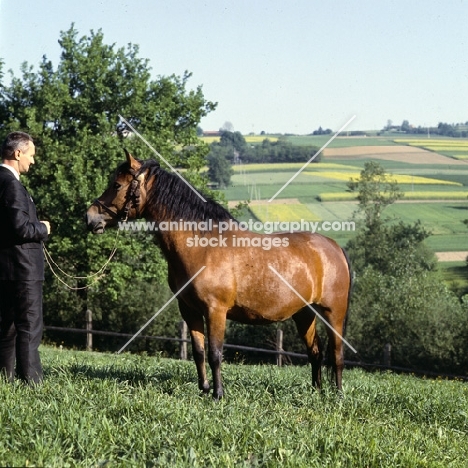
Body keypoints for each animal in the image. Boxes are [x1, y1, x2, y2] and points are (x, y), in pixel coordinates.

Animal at [85, 151, 352, 398]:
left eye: (116, 185)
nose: (90, 217)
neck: (203, 246)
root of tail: (335, 248)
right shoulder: (190, 310)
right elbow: (198, 351)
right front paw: (204, 389)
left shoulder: (216, 311)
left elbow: (215, 353)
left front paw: (218, 394)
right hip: (304, 313)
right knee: (315, 353)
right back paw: (316, 391)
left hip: (333, 313)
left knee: (336, 354)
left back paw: (338, 395)